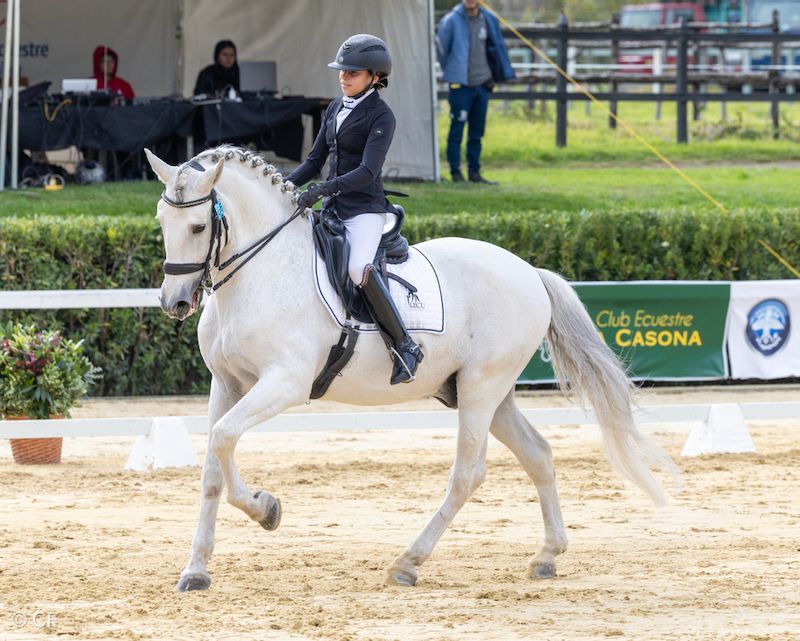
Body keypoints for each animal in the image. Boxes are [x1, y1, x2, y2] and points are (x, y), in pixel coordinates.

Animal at [144, 146, 678, 592]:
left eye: (198, 228)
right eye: (161, 220)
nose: (176, 303)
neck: (261, 272)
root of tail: (529, 272)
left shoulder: (285, 383)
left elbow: (223, 439)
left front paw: (266, 509)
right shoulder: (228, 384)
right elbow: (214, 464)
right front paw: (197, 569)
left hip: (482, 389)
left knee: (467, 474)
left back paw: (408, 563)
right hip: (484, 392)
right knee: (538, 455)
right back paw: (547, 556)